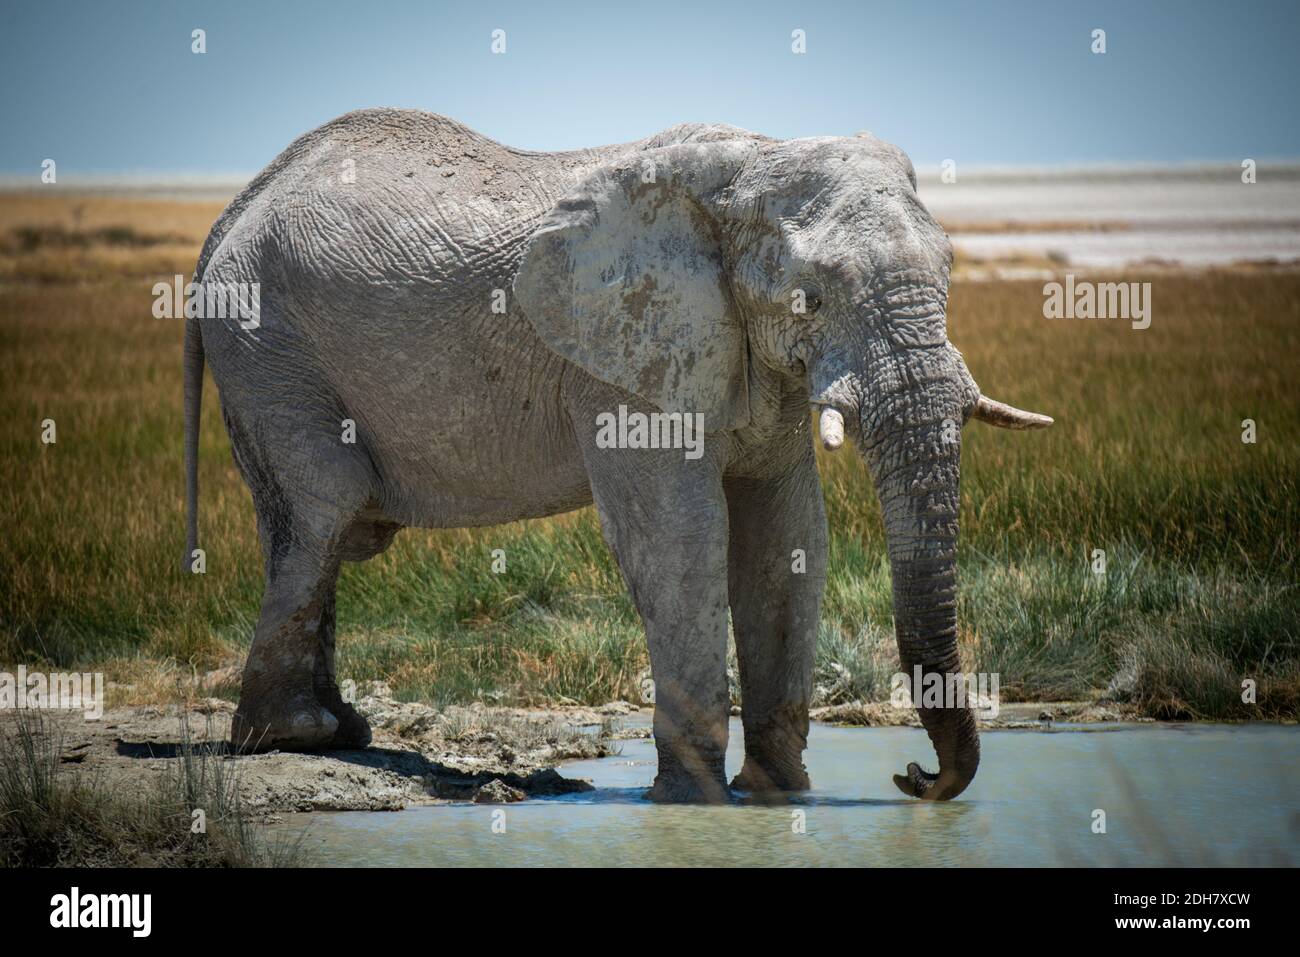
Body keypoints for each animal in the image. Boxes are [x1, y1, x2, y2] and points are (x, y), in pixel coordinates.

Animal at [183, 108, 1051, 803]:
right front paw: (695, 803)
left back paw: (341, 730)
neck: (754, 161)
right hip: (266, 342)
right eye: (812, 295)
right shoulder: (620, 361)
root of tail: (230, 214)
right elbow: (682, 536)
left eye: (950, 272)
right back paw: (297, 736)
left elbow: (787, 534)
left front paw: (777, 794)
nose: (914, 776)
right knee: (322, 511)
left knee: (310, 528)